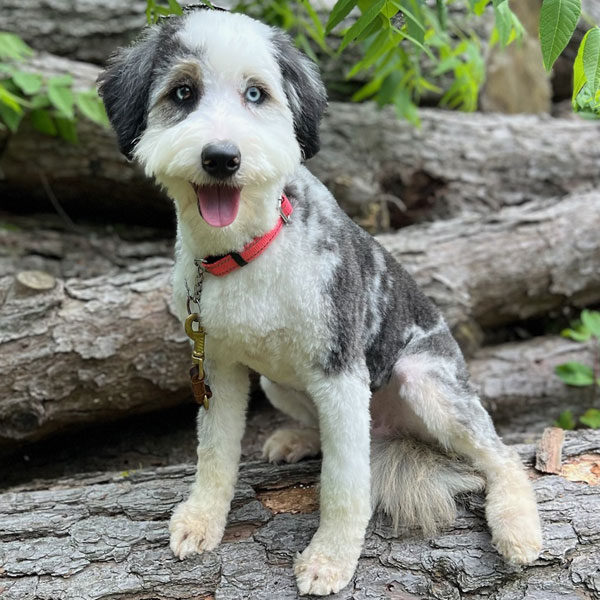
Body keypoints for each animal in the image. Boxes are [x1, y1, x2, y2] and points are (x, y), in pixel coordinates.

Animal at [96, 5, 540, 596]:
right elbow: (214, 454)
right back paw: (299, 438)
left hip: (427, 382)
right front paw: (201, 519)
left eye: (256, 93)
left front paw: (330, 560)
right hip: (276, 384)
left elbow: (346, 486)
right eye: (183, 92)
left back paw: (518, 527)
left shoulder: (340, 372)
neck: (248, 252)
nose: (221, 157)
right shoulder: (218, 367)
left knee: (502, 456)